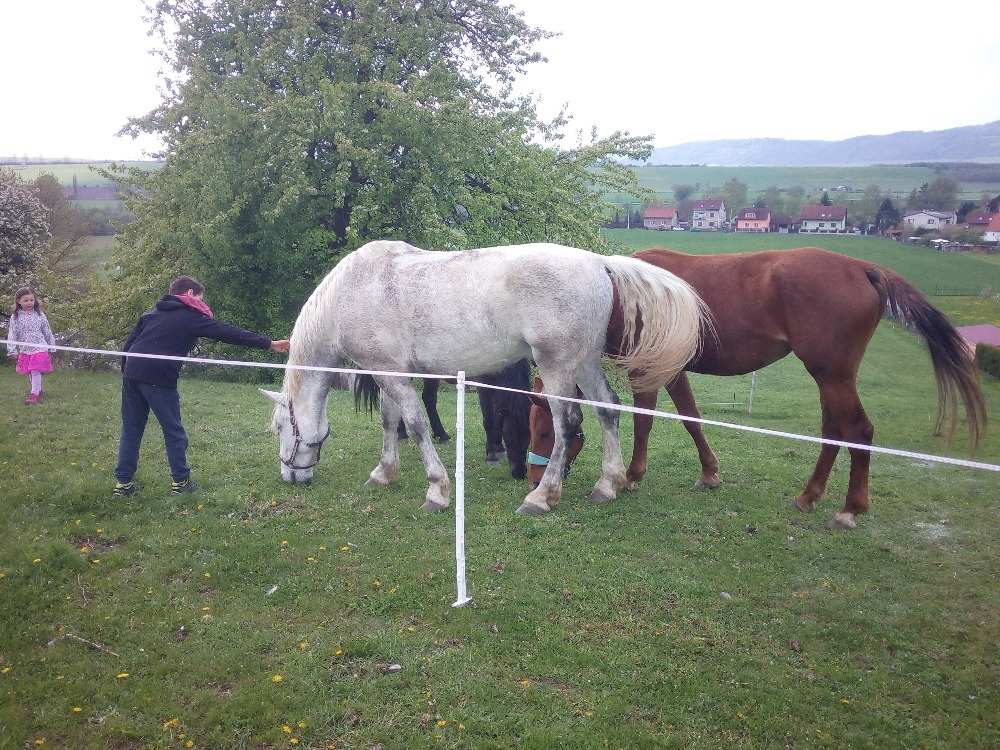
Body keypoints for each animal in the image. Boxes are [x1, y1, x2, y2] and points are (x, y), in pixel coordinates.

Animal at [262, 242, 708, 516]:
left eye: (281, 427)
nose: (290, 476)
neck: (354, 290)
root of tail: (598, 262)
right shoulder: (390, 372)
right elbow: (391, 422)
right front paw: (383, 473)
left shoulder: (393, 376)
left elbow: (416, 427)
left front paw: (437, 490)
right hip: (583, 363)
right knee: (608, 410)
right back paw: (607, 484)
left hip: (558, 366)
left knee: (568, 424)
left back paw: (542, 496)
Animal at [528, 247, 988, 528]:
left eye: (545, 431)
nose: (531, 475)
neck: (614, 287)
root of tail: (863, 268)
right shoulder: (673, 371)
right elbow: (692, 419)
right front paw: (709, 473)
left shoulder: (651, 368)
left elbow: (645, 420)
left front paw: (630, 475)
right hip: (829, 378)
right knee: (833, 432)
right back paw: (810, 495)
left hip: (832, 375)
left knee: (858, 431)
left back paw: (849, 509)